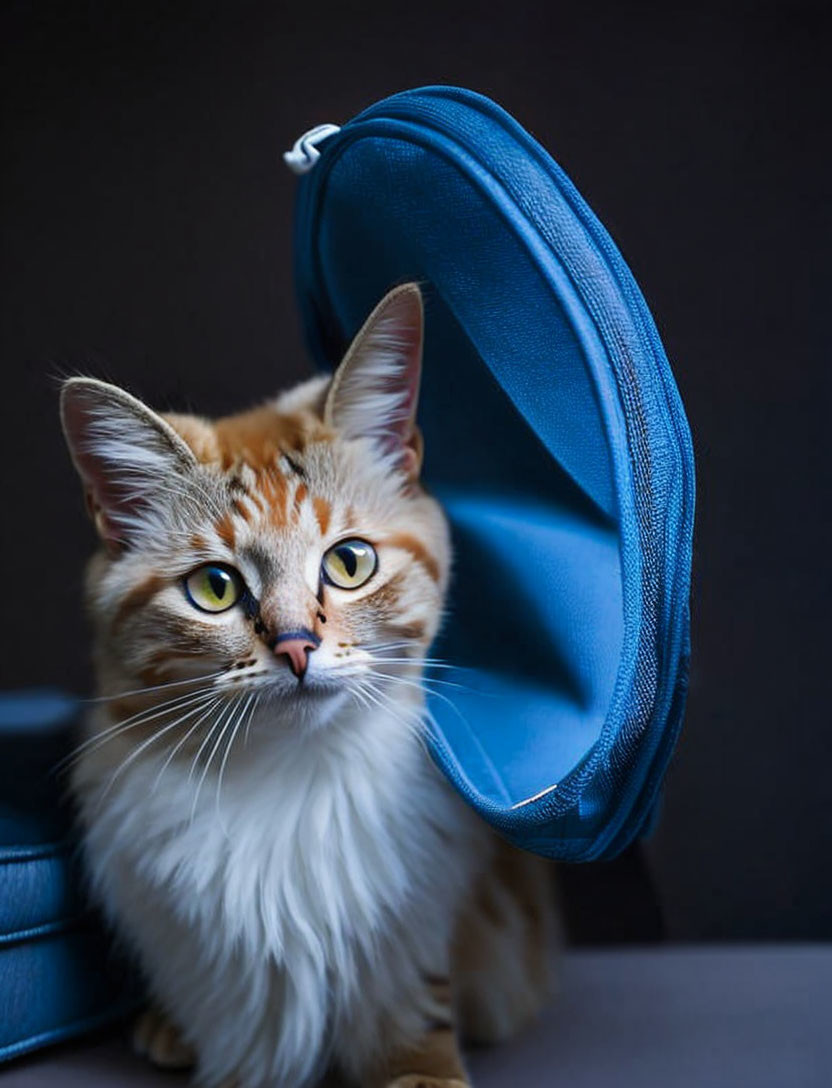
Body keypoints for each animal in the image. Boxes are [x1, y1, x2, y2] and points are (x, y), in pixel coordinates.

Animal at [60, 282, 556, 1088]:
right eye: (216, 587)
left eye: (349, 562)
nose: (297, 646)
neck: (290, 777)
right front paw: (185, 1028)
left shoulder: (425, 932)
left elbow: (416, 999)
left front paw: (420, 1070)